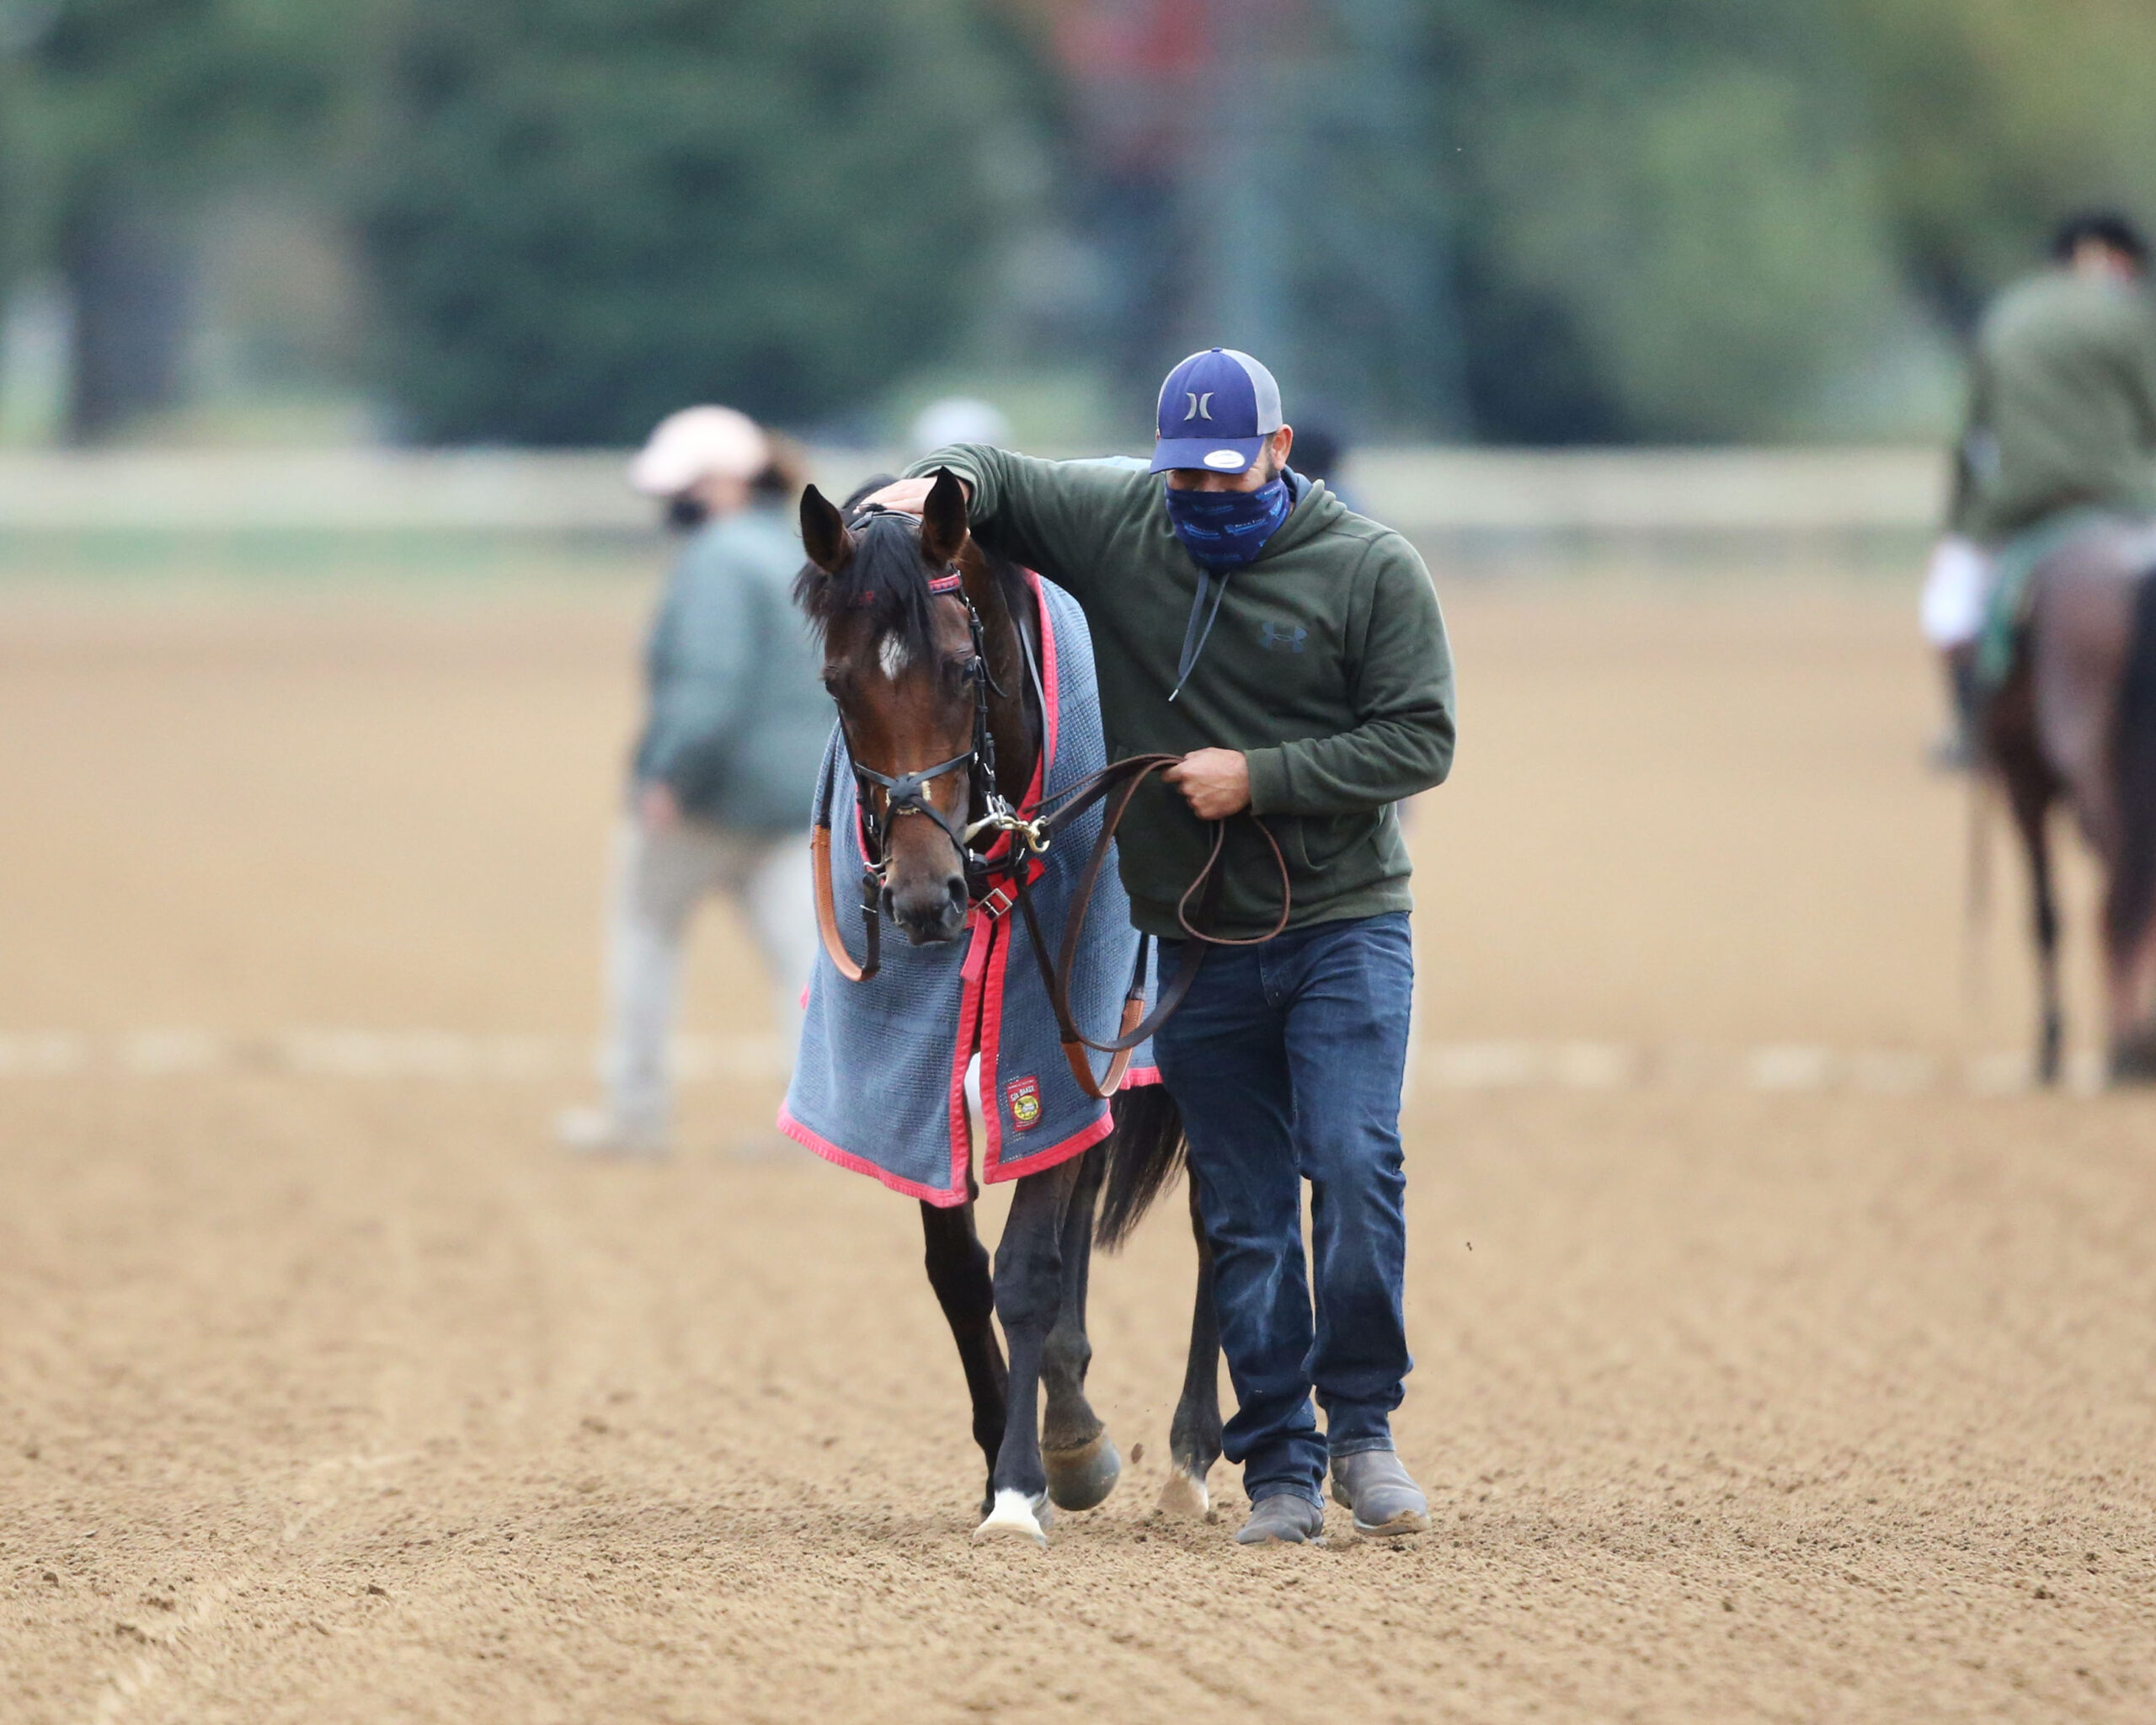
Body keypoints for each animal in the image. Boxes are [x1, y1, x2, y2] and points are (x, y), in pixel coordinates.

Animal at [798, 474, 1233, 1552]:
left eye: (963, 668)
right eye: (836, 683)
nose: (922, 899)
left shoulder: (1062, 1020)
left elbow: (1029, 1262)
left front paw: (1018, 1482)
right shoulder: (928, 1059)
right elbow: (960, 1264)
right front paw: (1025, 1444)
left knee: (1220, 1212)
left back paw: (1189, 1455)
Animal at [1974, 515, 2156, 1078]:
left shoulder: (2024, 781)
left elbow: (2045, 913)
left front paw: (2051, 1042)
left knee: (2113, 896)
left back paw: (2127, 1046)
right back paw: (2135, 1044)